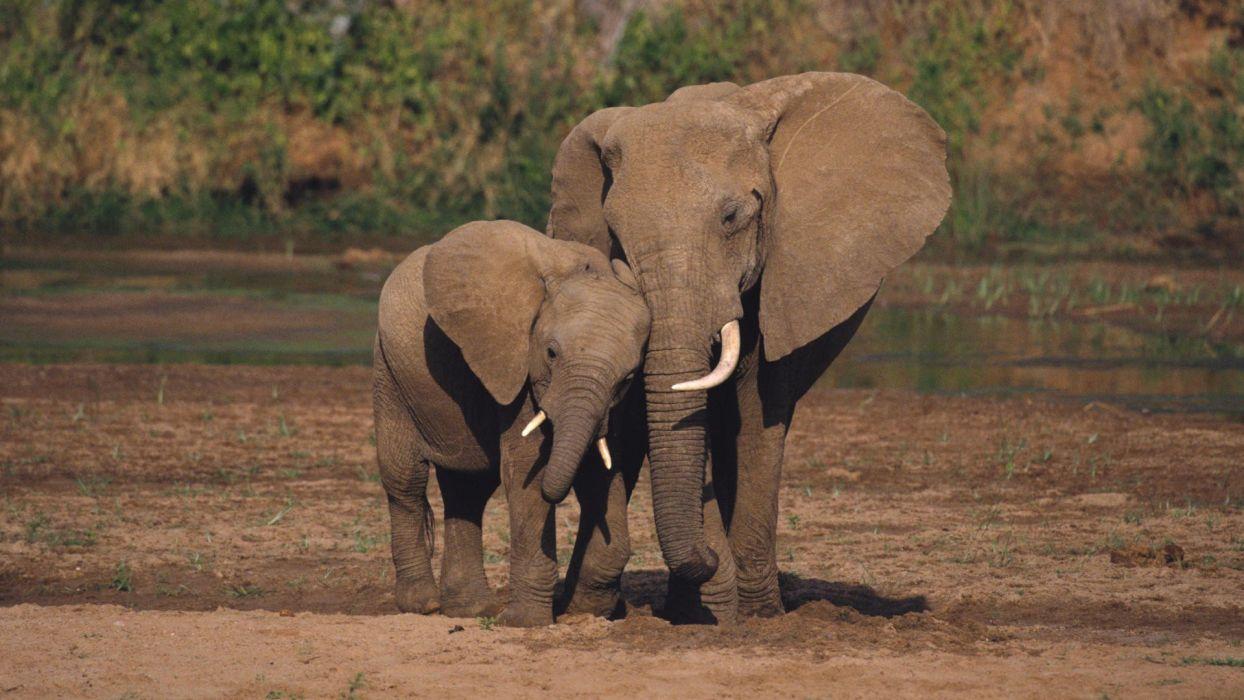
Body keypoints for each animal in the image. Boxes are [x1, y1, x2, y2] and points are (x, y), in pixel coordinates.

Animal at [373, 219, 650, 627]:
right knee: (405, 480)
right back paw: (425, 605)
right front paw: (526, 622)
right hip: (390, 374)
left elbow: (601, 469)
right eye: (551, 353)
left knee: (467, 489)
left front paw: (588, 611)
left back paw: (470, 610)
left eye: (628, 377)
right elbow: (526, 470)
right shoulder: (516, 364)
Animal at [543, 72, 950, 623]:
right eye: (616, 235)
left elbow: (759, 410)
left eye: (732, 217)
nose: (711, 559)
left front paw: (754, 614)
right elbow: (640, 416)